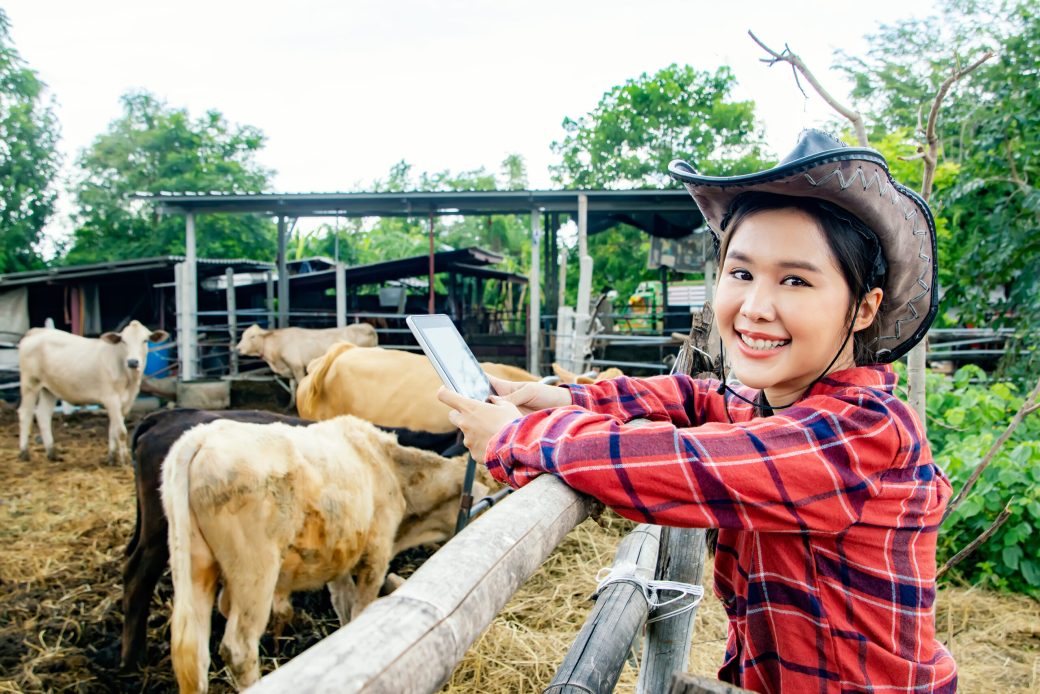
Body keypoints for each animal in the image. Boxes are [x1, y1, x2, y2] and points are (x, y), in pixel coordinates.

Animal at [18, 322, 168, 466]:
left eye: (145, 340)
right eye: (123, 341)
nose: (132, 362)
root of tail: (37, 331)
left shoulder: (126, 403)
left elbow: (113, 429)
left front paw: (111, 458)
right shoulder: (111, 398)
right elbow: (121, 431)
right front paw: (124, 461)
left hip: (49, 389)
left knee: (43, 415)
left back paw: (52, 453)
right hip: (30, 383)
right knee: (25, 413)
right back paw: (24, 453)